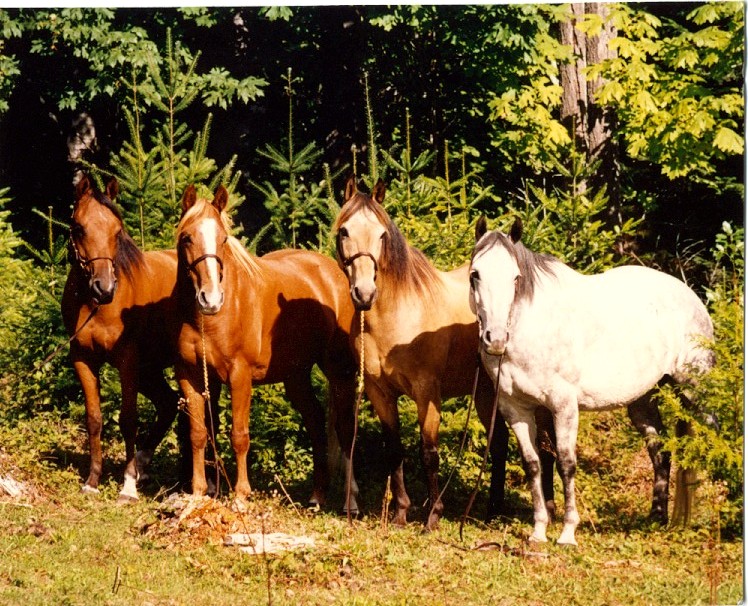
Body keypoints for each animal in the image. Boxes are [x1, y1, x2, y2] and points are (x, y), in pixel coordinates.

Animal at [61, 174, 186, 502]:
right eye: (80, 228)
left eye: (117, 231)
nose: (104, 287)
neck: (98, 308)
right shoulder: (83, 360)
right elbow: (94, 419)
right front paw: (92, 480)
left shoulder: (127, 361)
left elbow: (128, 419)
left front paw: (128, 486)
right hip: (150, 369)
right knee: (169, 404)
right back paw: (143, 463)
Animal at [174, 184, 359, 512]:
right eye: (187, 238)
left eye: (223, 239)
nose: (211, 298)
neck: (209, 321)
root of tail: (333, 272)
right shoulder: (191, 376)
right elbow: (198, 433)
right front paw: (198, 493)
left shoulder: (240, 377)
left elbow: (239, 435)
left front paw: (240, 497)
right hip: (296, 377)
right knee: (315, 422)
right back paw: (317, 496)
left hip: (339, 370)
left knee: (345, 429)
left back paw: (350, 503)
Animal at [333, 177, 558, 530]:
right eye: (344, 231)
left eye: (382, 234)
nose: (365, 293)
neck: (398, 315)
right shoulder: (380, 392)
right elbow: (394, 450)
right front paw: (400, 513)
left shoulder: (427, 393)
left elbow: (429, 452)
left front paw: (433, 516)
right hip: (486, 393)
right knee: (498, 445)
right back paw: (492, 510)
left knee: (546, 449)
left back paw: (546, 507)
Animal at [469, 216, 715, 545]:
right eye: (475, 275)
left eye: (515, 278)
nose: (495, 339)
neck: (533, 329)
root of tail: (691, 297)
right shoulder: (516, 409)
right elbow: (533, 464)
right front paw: (539, 530)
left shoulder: (564, 406)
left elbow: (566, 463)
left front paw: (568, 532)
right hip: (643, 401)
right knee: (659, 450)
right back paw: (657, 518)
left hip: (695, 391)